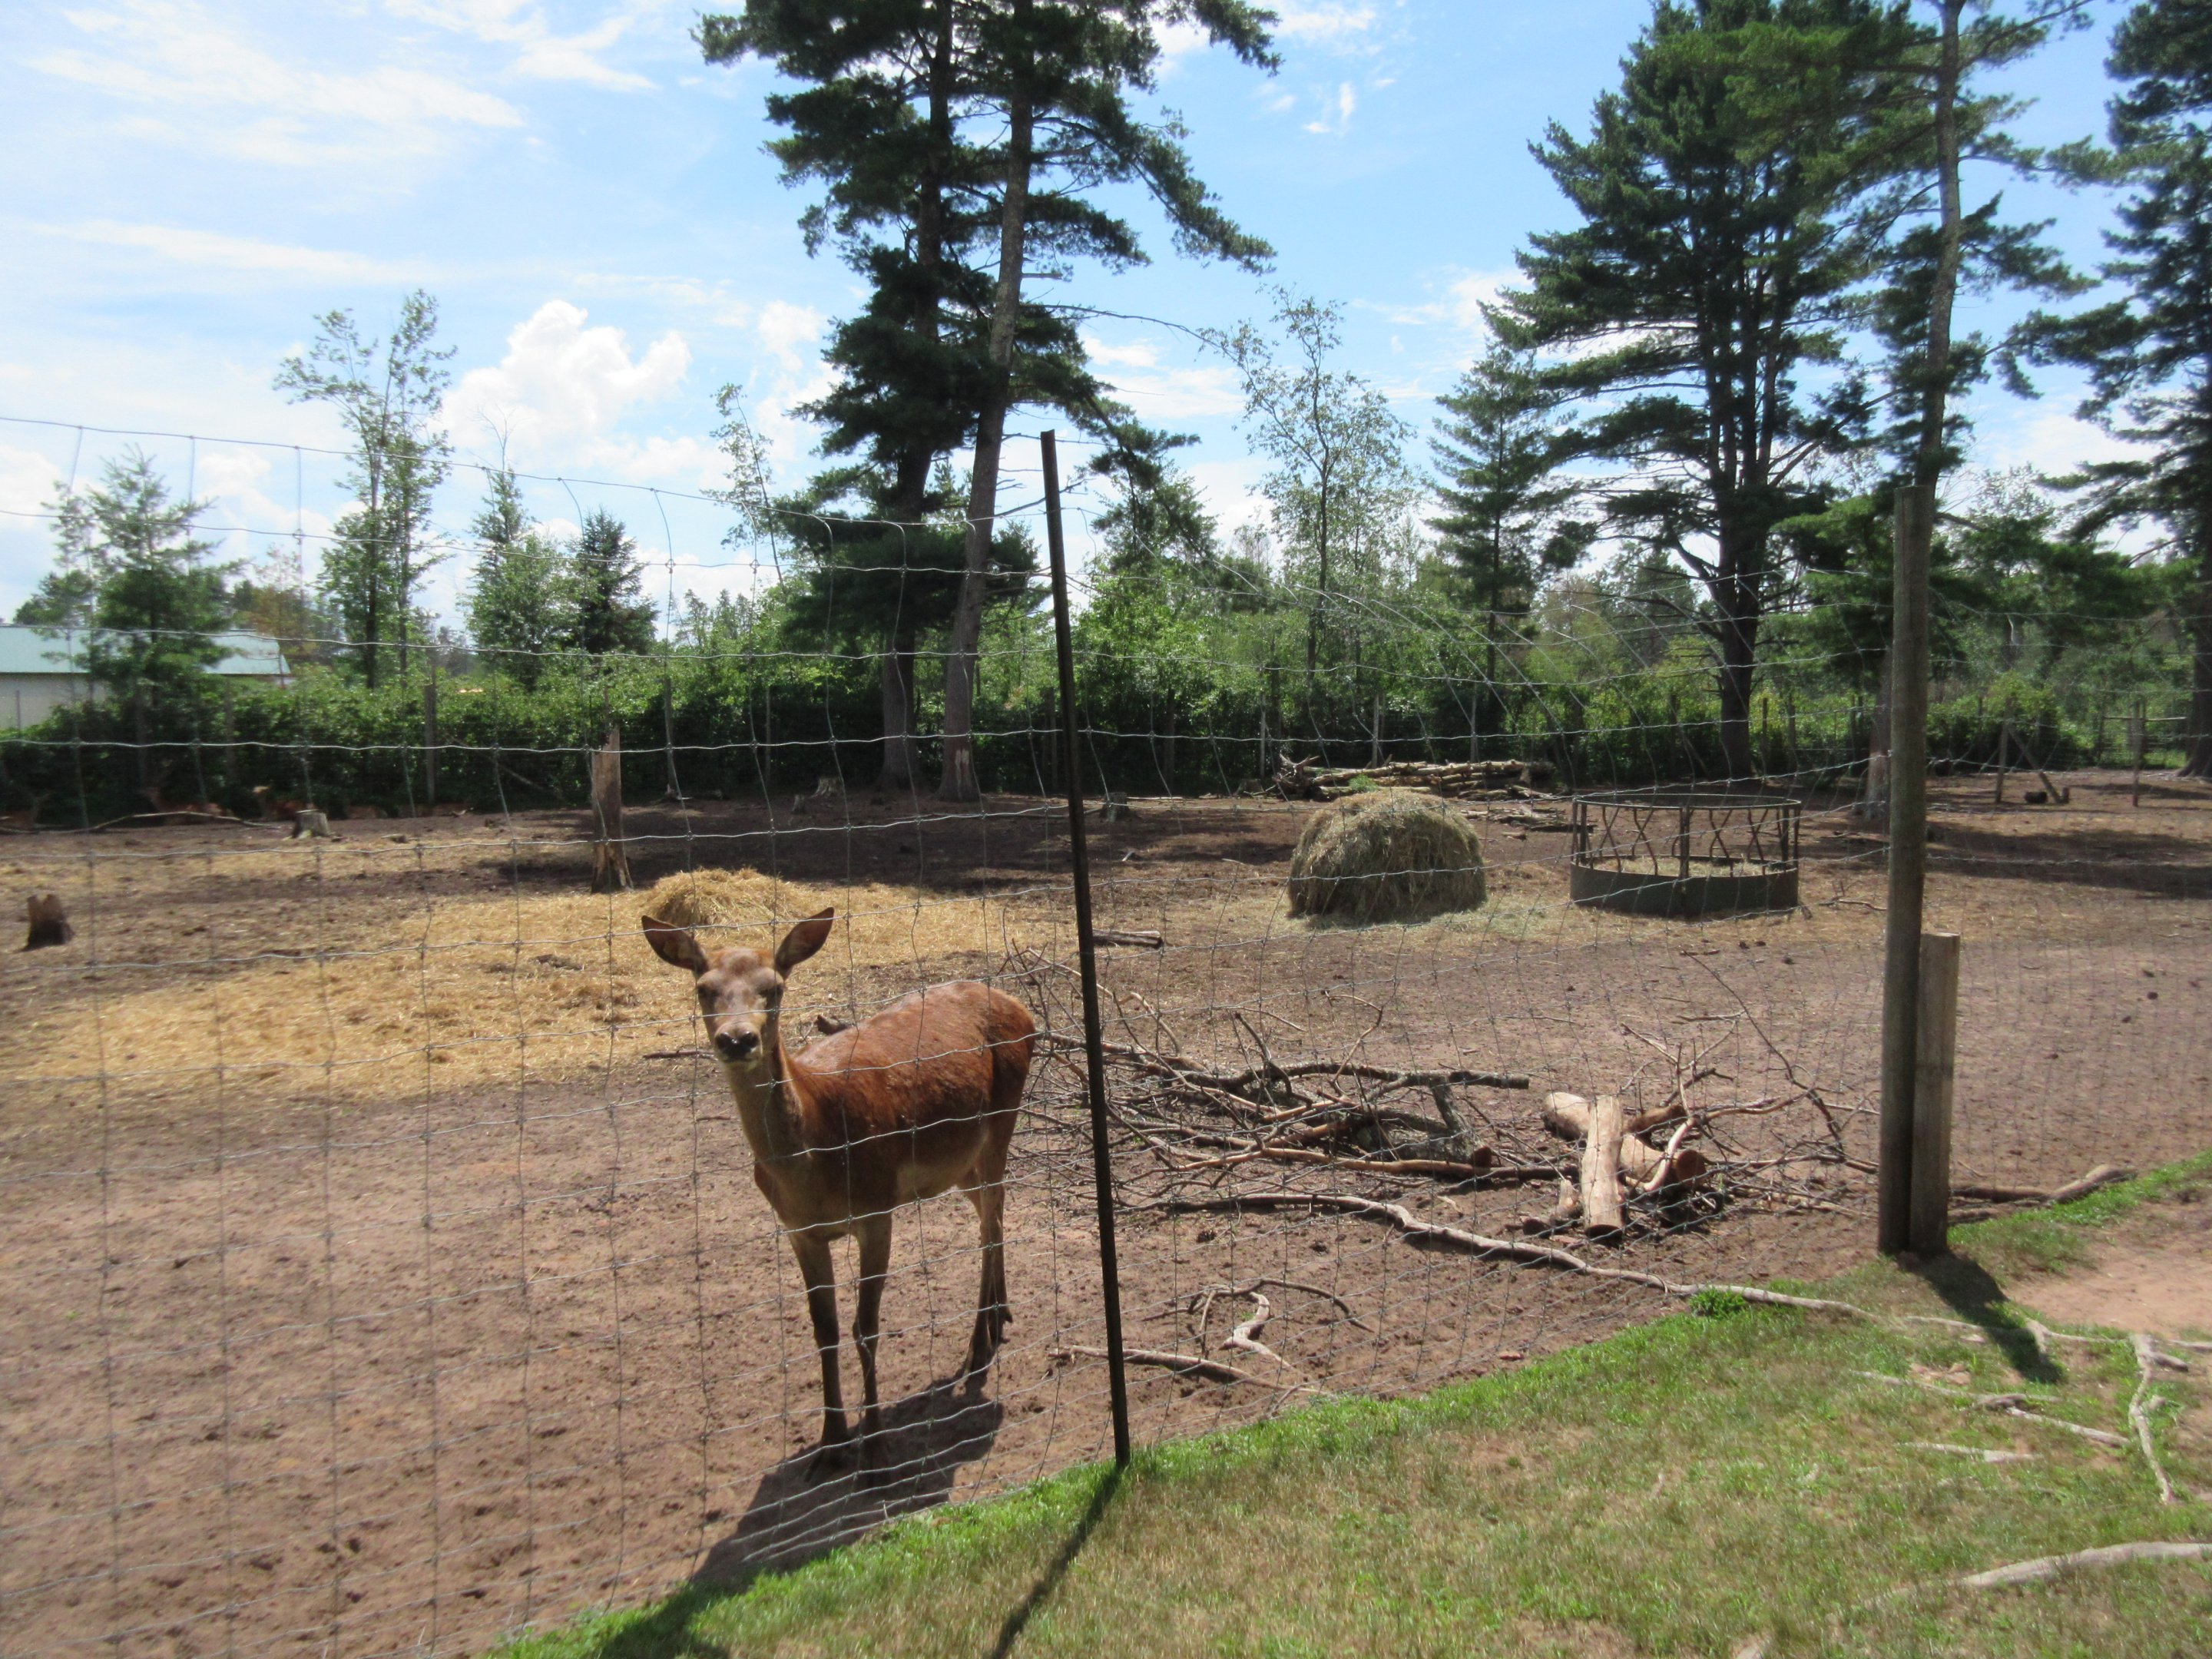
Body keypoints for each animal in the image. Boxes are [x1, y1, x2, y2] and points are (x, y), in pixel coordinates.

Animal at [642, 906, 1034, 1479]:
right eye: (703, 988)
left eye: (774, 986)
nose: (738, 1040)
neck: (817, 1158)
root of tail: (1022, 1009)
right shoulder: (799, 1230)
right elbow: (823, 1328)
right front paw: (830, 1444)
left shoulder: (876, 1209)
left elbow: (865, 1326)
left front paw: (875, 1452)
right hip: (960, 1160)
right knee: (993, 1209)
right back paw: (998, 1317)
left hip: (1003, 1120)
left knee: (993, 1217)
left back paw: (979, 1343)